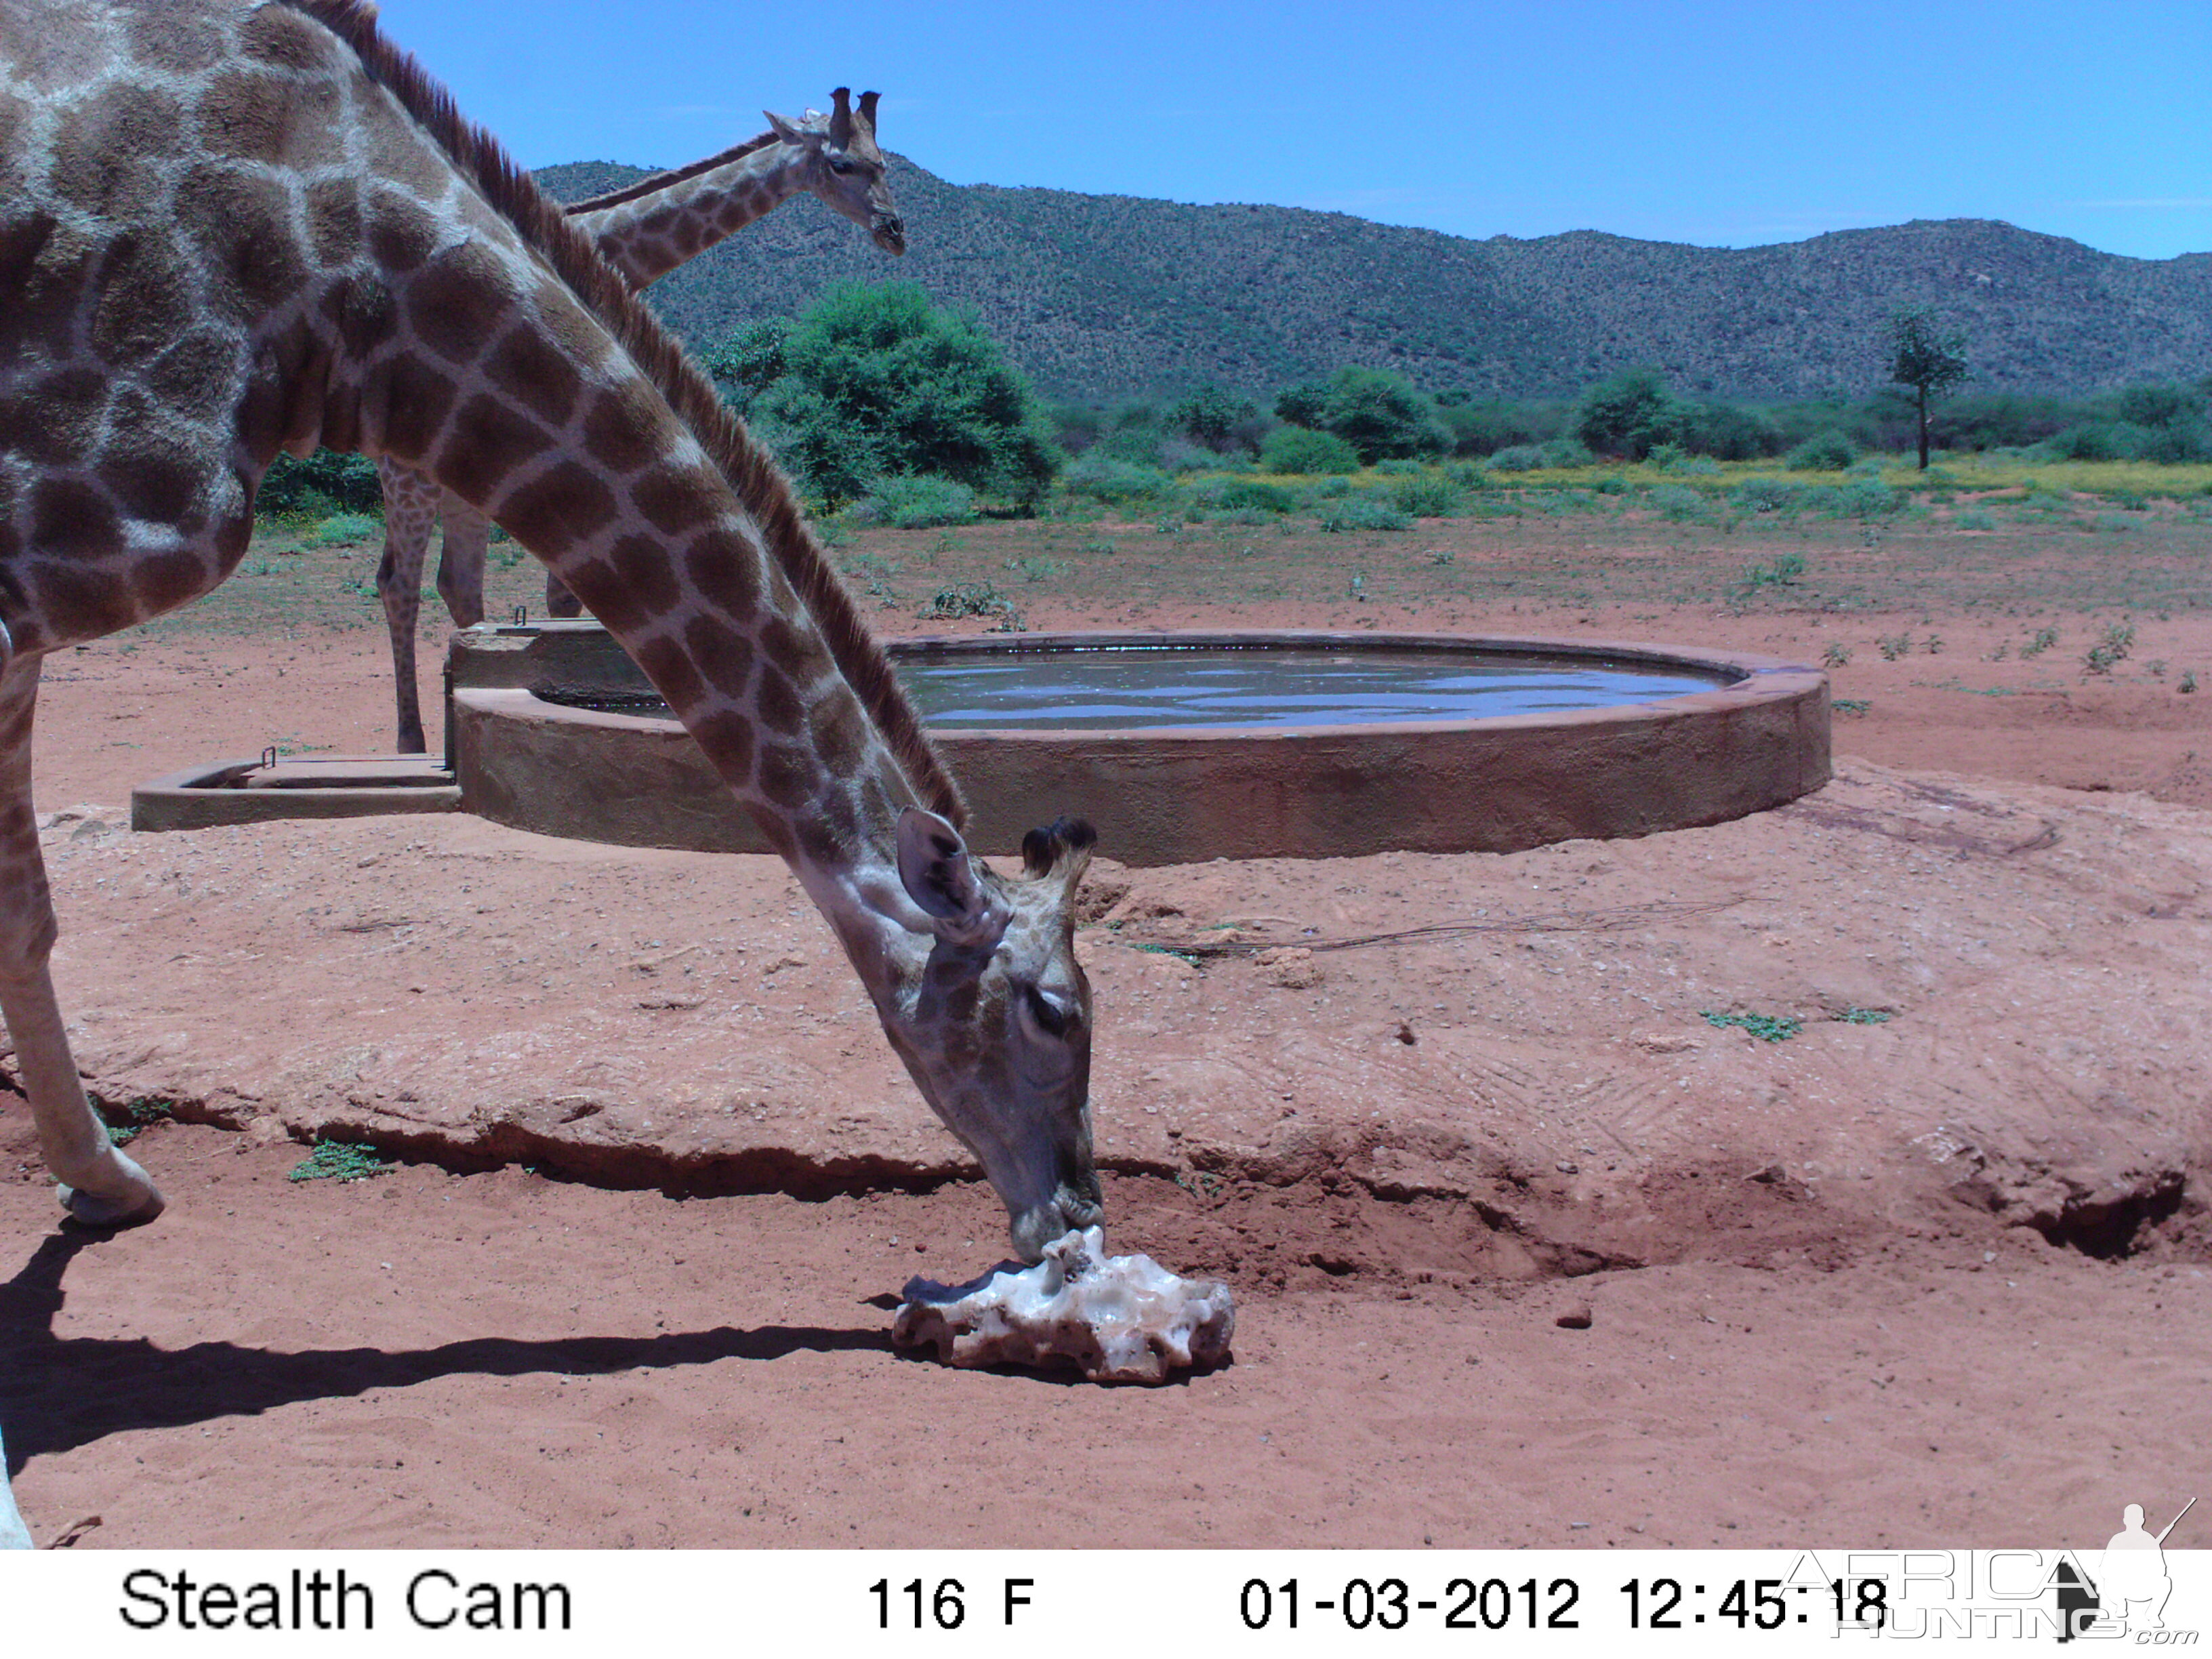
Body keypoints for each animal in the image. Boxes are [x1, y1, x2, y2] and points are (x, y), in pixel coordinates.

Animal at [371, 94, 907, 756]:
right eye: (840, 164)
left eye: (882, 161)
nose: (895, 231)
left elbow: (566, 597)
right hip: (407, 468)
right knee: (398, 583)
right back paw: (412, 740)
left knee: (456, 583)